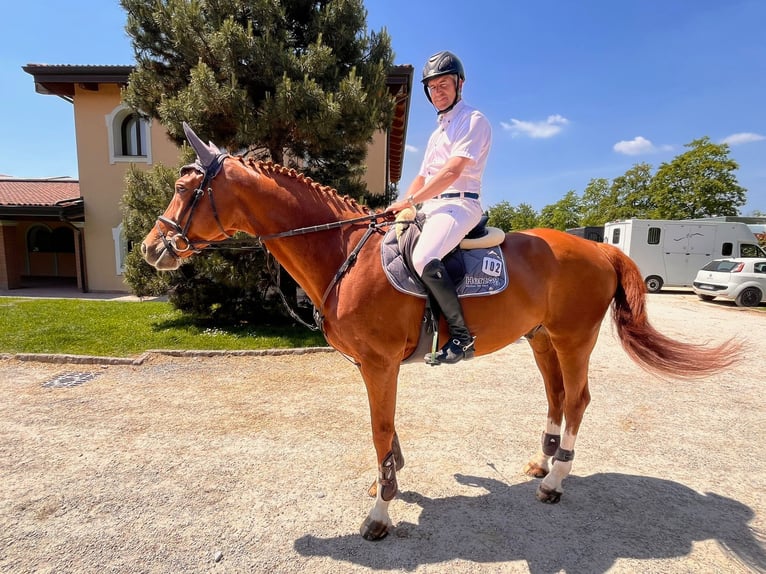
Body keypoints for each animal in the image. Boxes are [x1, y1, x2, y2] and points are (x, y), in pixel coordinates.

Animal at [140, 124, 739, 540]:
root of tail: (599, 248)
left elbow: (379, 431)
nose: (152, 248)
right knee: (555, 395)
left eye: (186, 189)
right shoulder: (375, 367)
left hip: (574, 339)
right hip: (541, 338)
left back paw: (554, 483)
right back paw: (541, 464)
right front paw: (389, 483)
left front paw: (380, 513)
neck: (344, 252)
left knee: (577, 400)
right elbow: (387, 433)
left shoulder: (379, 364)